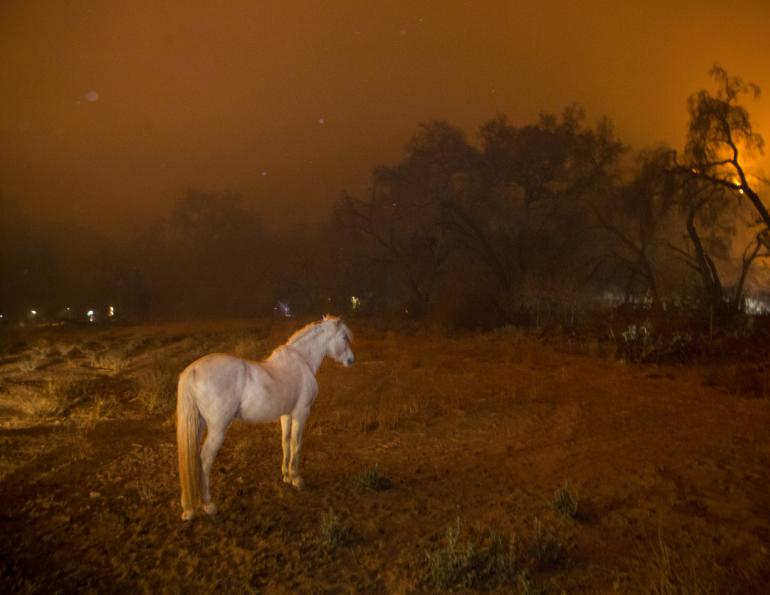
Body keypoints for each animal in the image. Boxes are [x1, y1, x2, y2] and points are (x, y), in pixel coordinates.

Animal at [176, 315, 355, 521]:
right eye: (344, 337)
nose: (351, 360)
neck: (302, 361)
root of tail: (192, 371)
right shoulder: (301, 413)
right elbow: (296, 444)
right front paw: (297, 479)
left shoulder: (286, 415)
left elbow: (285, 442)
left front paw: (286, 475)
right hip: (217, 429)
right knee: (205, 460)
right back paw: (208, 505)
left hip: (198, 426)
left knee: (192, 459)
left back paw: (189, 507)